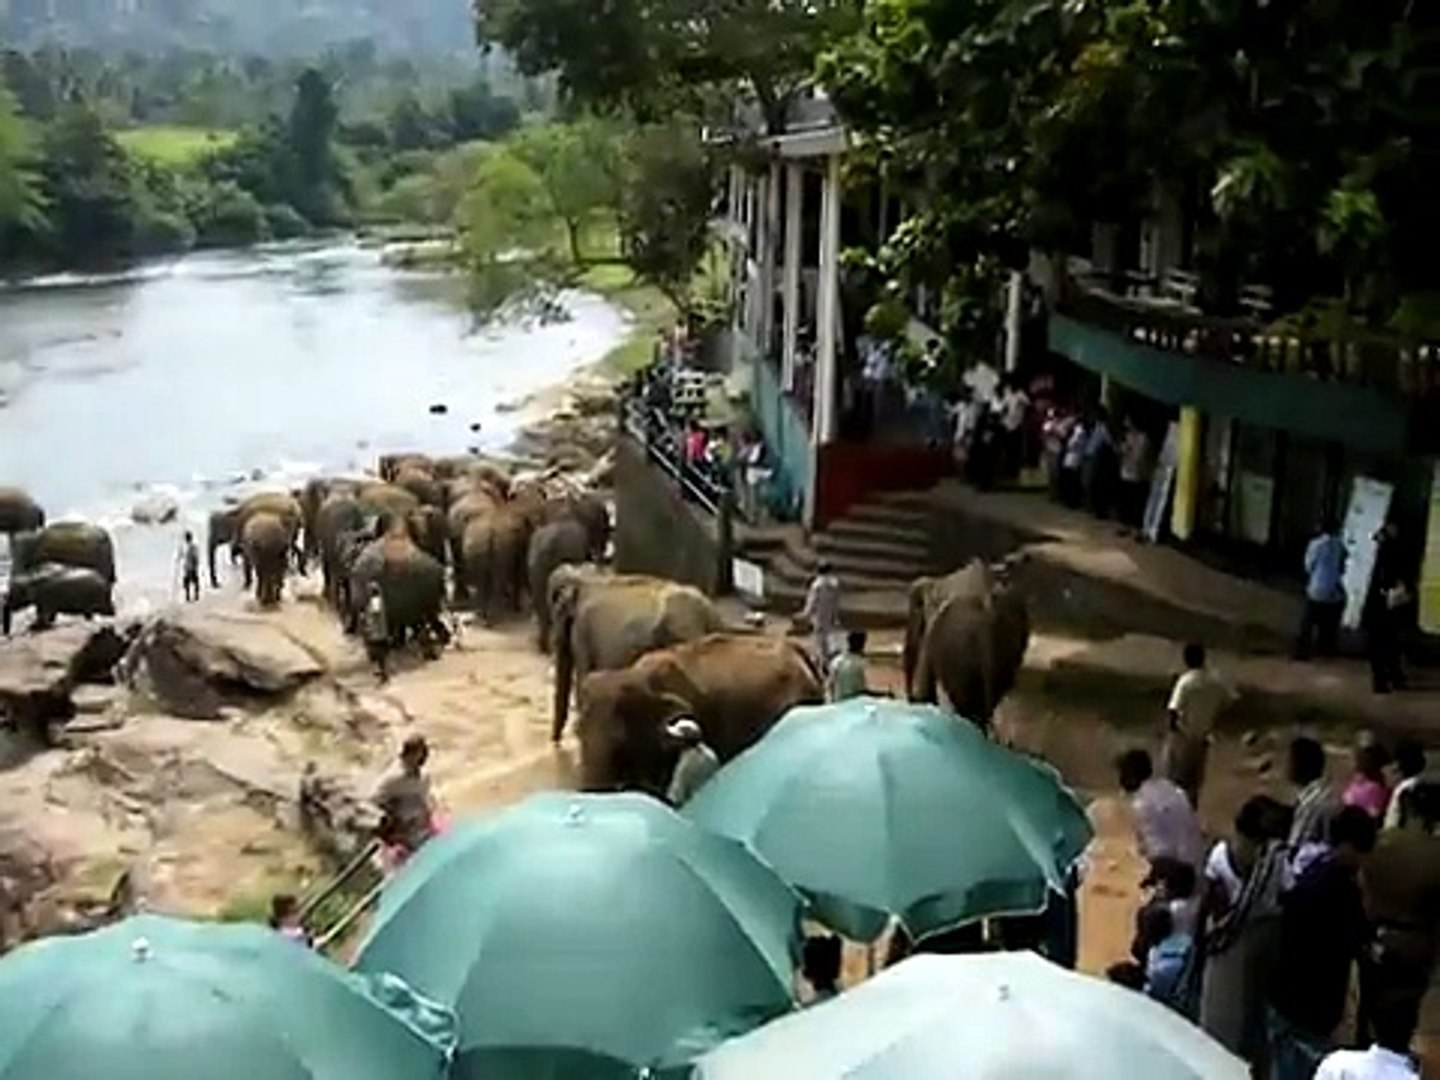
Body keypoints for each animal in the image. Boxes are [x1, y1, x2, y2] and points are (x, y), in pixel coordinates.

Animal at [547, 567, 725, 743]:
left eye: (557, 612)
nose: (555, 742)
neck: (586, 578)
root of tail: (710, 613)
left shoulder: (582, 631)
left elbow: (584, 676)